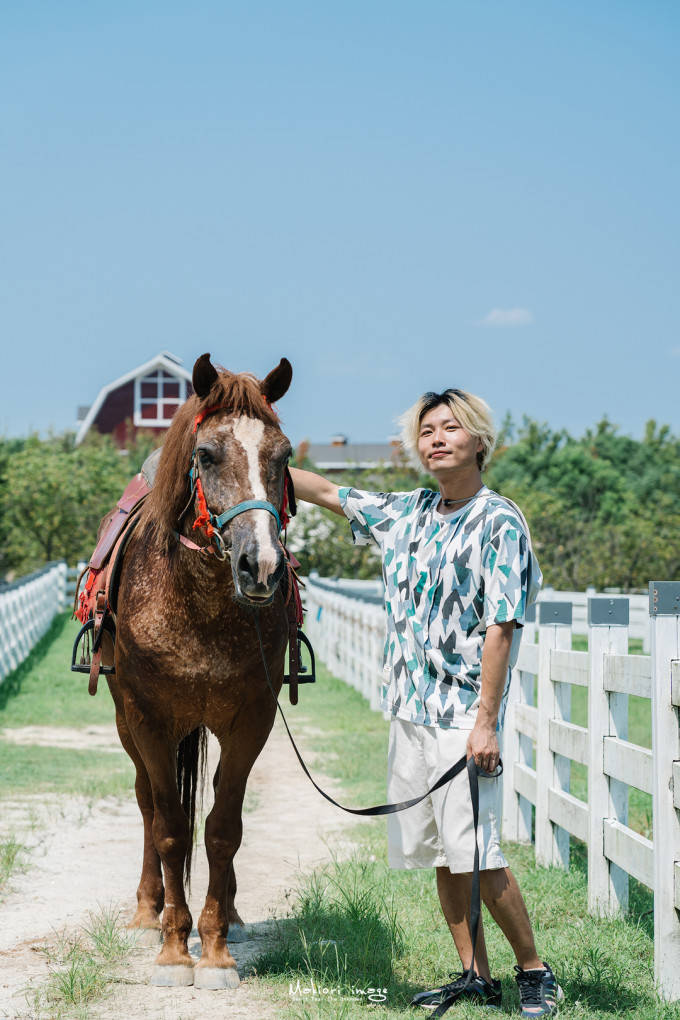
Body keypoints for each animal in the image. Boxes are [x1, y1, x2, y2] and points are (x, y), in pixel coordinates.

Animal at [107, 357, 293, 987]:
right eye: (207, 454)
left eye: (283, 455)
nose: (261, 566)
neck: (199, 605)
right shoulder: (148, 719)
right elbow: (169, 826)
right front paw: (172, 947)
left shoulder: (251, 721)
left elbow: (221, 828)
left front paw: (213, 948)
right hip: (128, 724)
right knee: (146, 802)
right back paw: (149, 911)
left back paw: (229, 915)